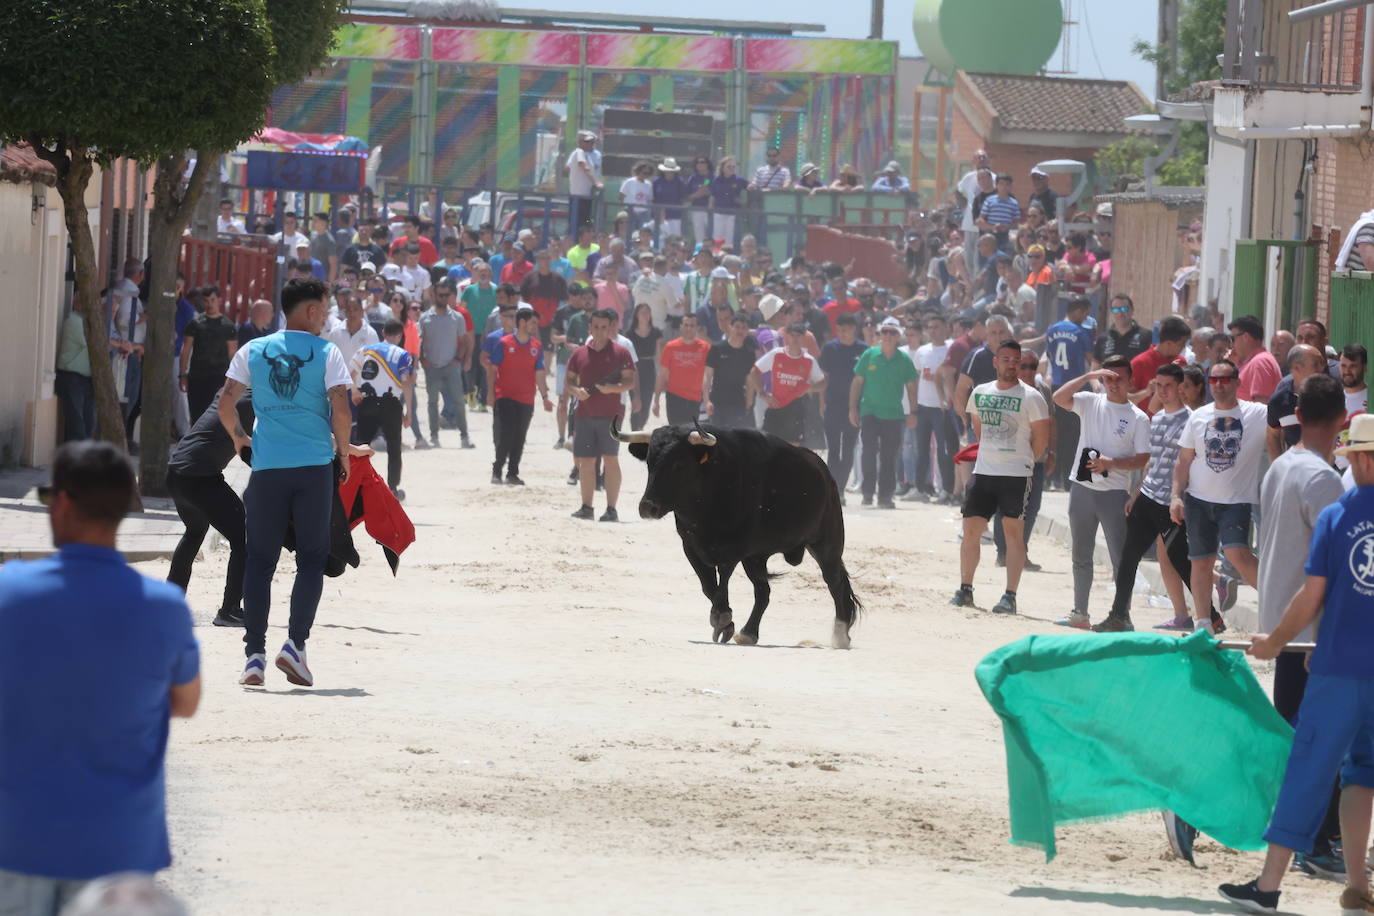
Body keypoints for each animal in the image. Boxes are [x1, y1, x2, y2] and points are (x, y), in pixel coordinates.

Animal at [621, 420, 862, 648]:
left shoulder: (734, 548)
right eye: (650, 463)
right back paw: (748, 633)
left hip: (826, 545)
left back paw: (841, 635)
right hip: (756, 559)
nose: (647, 507)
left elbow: (722, 581)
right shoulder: (691, 547)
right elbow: (708, 585)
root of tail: (826, 475)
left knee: (835, 583)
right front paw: (726, 624)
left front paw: (720, 617)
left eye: (679, 464)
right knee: (763, 592)